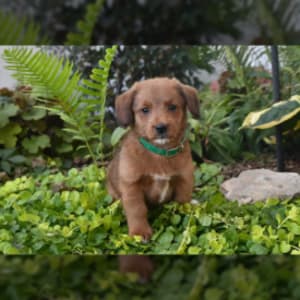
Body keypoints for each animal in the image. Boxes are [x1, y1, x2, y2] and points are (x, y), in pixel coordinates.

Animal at [107, 78, 199, 241]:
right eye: (145, 110)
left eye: (172, 107)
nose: (161, 127)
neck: (160, 153)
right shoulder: (132, 186)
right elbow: (137, 210)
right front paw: (139, 231)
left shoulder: (184, 179)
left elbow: (182, 201)